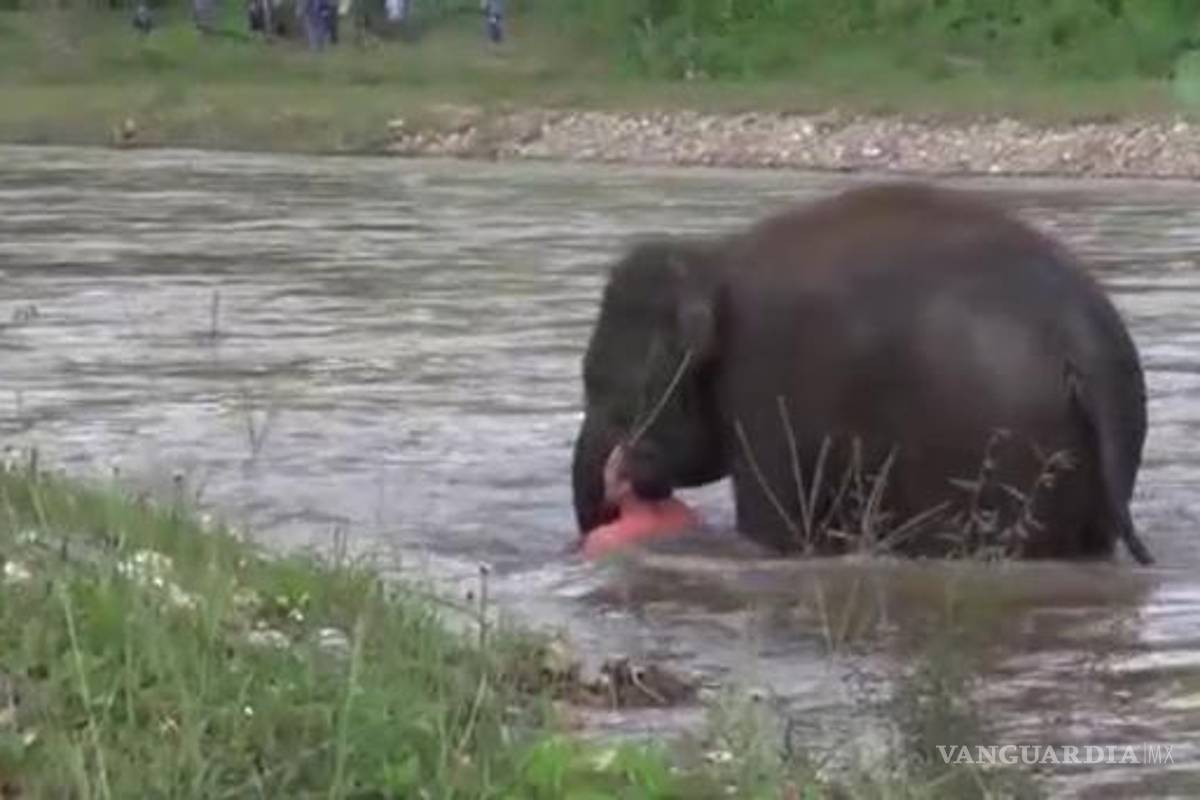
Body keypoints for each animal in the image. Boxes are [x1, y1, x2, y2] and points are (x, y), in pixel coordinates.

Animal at [570, 182, 1154, 565]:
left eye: (601, 384)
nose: (623, 480)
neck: (713, 256)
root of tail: (1083, 339)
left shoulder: (764, 384)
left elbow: (772, 526)